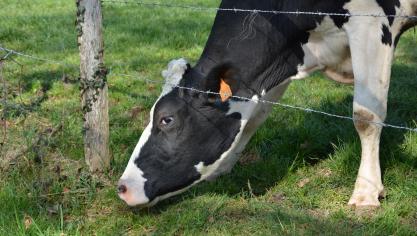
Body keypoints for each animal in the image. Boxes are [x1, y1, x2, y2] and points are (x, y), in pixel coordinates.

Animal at [116, 0, 416, 207]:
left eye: (167, 119)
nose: (122, 187)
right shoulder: (279, 62)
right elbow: (254, 118)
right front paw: (223, 168)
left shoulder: (371, 22)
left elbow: (366, 116)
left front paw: (366, 192)